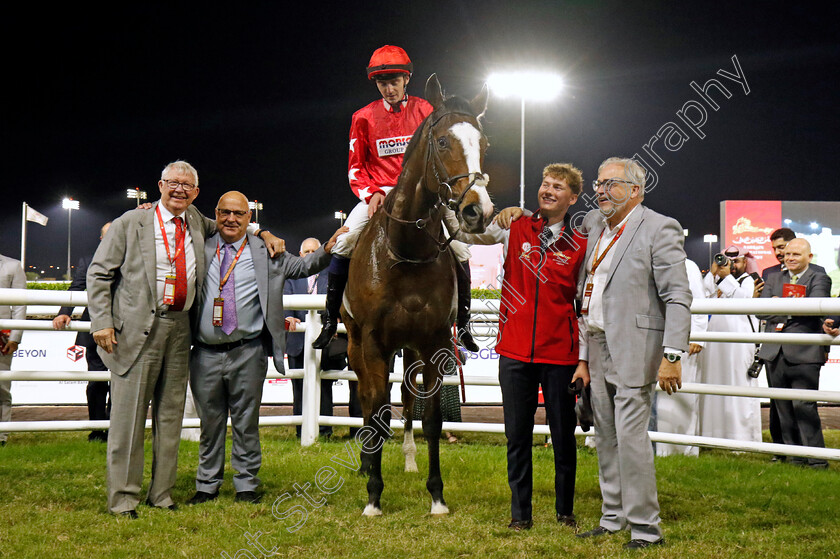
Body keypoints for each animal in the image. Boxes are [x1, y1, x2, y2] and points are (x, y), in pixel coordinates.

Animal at [342, 73, 492, 516]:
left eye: (484, 143)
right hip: (357, 345)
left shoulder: (434, 342)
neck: (405, 250)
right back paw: (366, 463)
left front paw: (436, 495)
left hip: (408, 348)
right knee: (369, 399)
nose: (478, 210)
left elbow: (431, 420)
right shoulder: (373, 342)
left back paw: (407, 459)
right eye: (442, 142)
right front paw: (373, 494)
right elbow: (376, 409)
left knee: (408, 402)